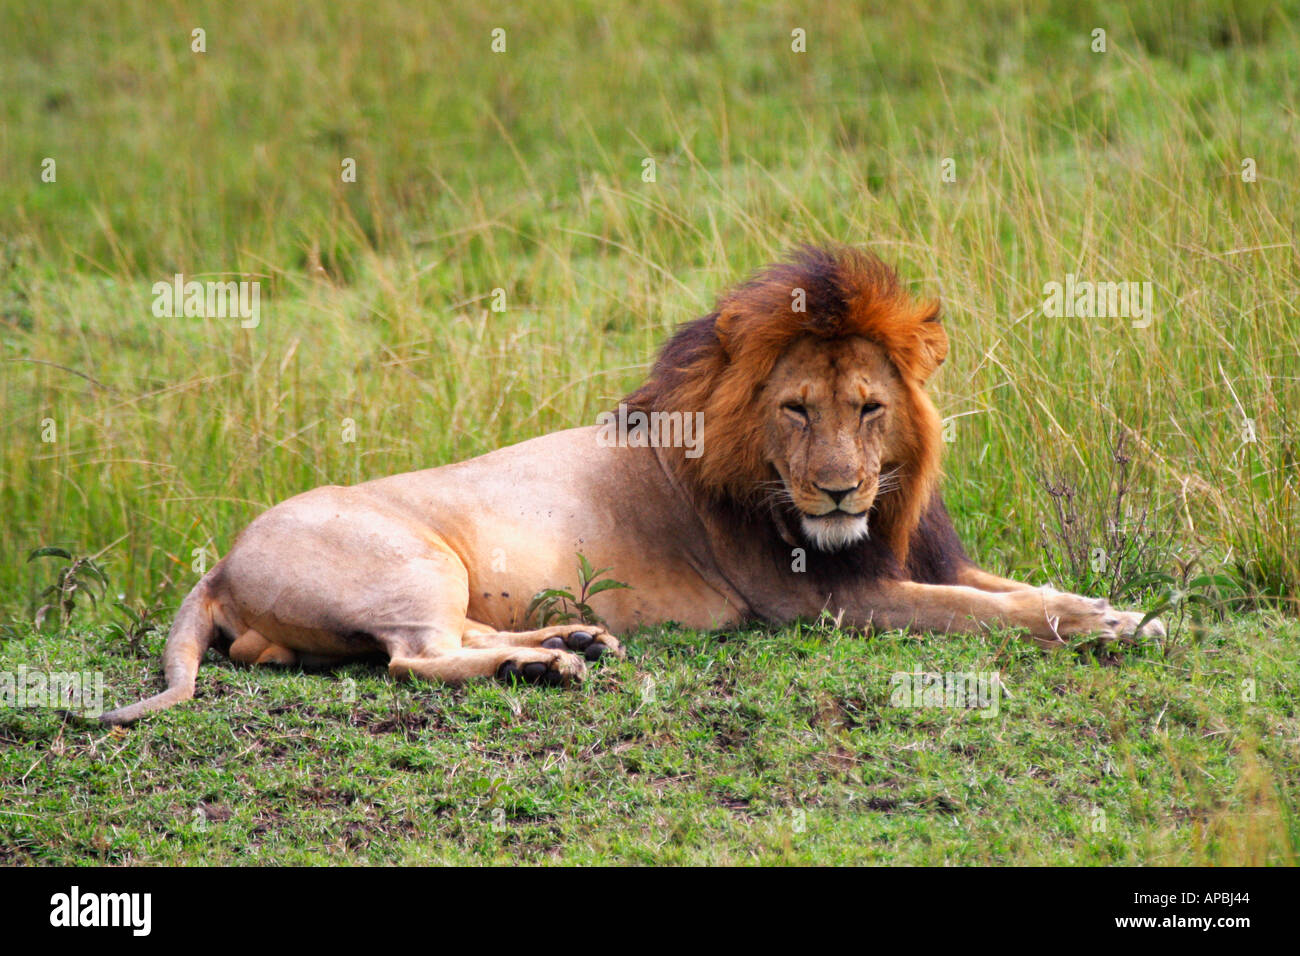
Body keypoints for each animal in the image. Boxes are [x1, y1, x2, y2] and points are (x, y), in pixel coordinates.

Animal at [101, 245, 1163, 724]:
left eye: (868, 408)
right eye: (795, 411)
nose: (835, 493)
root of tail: (219, 563)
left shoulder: (903, 554)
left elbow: (1009, 589)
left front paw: (1123, 615)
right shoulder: (815, 600)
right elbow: (981, 613)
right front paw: (1096, 623)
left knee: (445, 638)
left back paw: (570, 642)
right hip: (409, 559)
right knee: (414, 657)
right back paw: (545, 669)